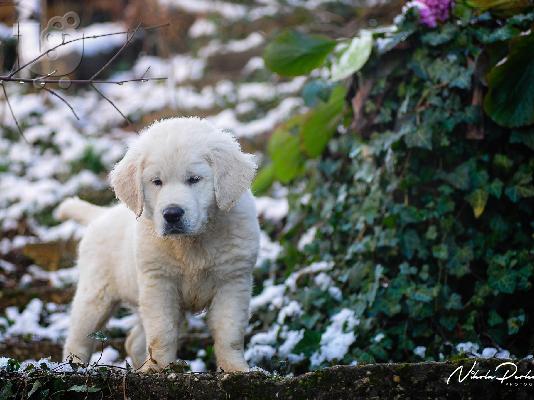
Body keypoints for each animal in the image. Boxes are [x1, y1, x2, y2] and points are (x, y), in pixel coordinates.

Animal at [57, 116, 260, 372]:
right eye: (157, 182)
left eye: (194, 179)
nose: (172, 214)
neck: (191, 243)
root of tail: (99, 216)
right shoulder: (159, 284)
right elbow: (162, 332)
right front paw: (159, 369)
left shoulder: (233, 281)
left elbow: (229, 333)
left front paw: (235, 369)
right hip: (95, 295)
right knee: (79, 338)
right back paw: (71, 368)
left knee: (133, 340)